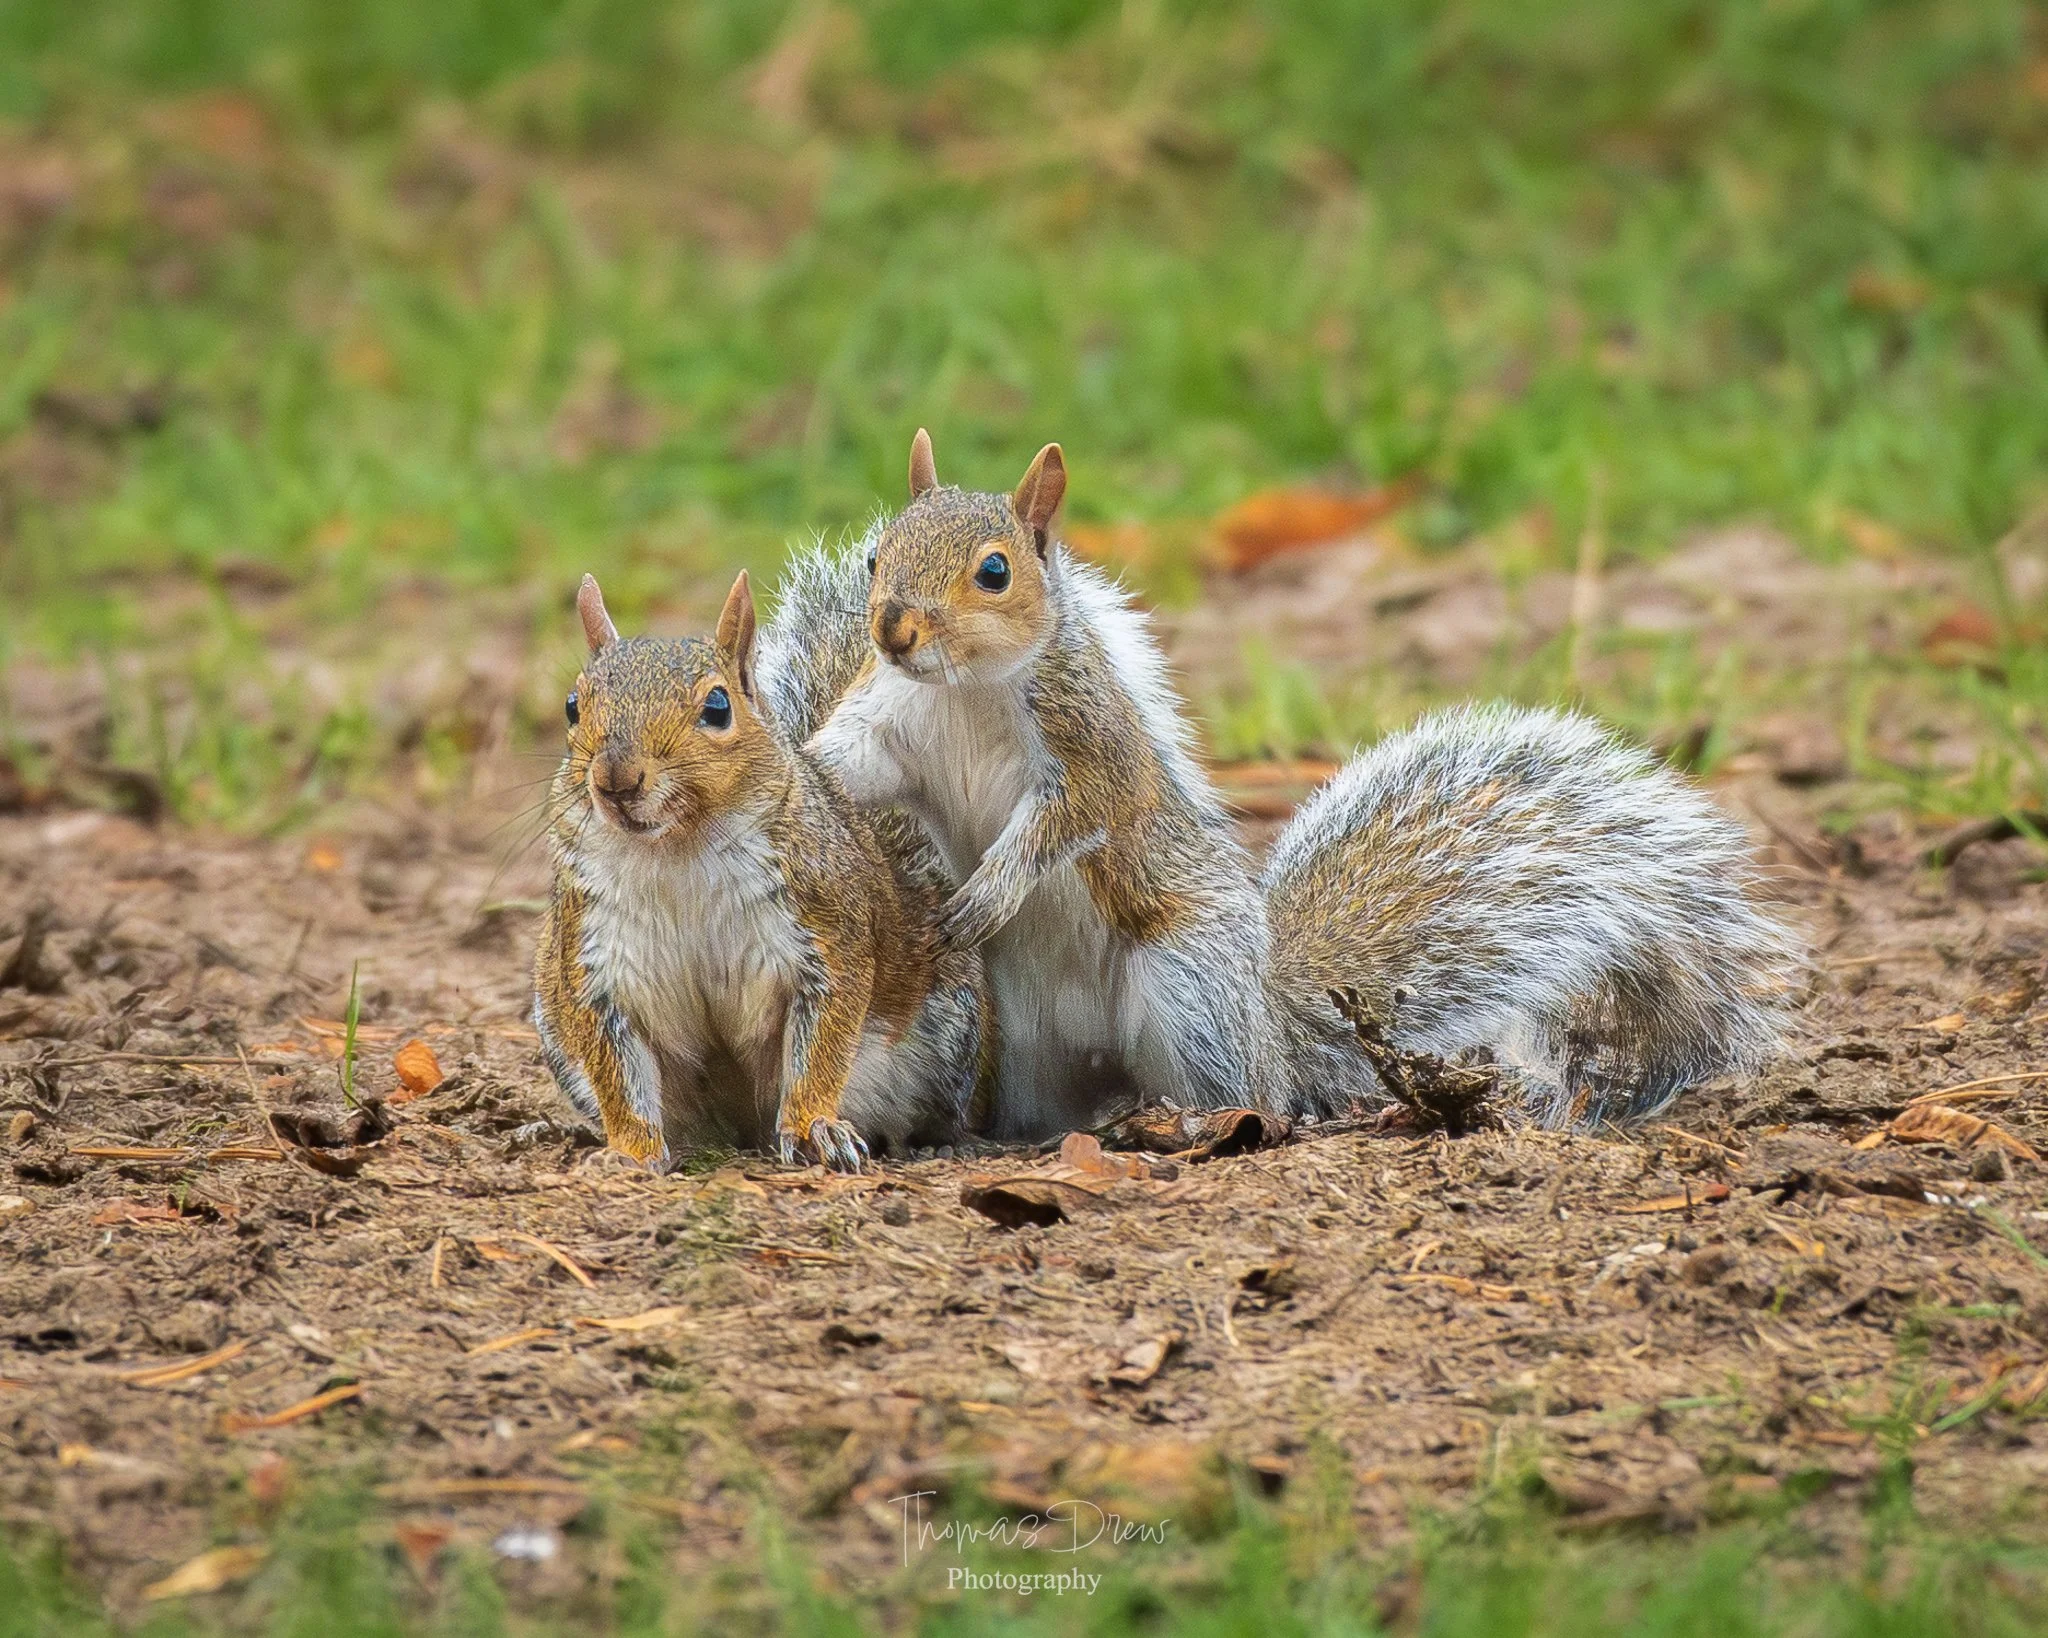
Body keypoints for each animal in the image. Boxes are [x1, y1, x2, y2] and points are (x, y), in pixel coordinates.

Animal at [532, 569, 994, 1171]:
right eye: (572, 706)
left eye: (718, 707)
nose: (615, 779)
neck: (676, 848)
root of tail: (744, 1133)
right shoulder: (594, 962)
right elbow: (617, 1076)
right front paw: (629, 1152)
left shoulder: (826, 930)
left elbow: (820, 1050)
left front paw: (814, 1129)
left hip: (949, 1031)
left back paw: (940, 1141)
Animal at [787, 429, 1803, 1136]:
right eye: (877, 555)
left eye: (994, 572)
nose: (892, 631)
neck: (960, 691)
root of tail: (1274, 1029)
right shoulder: (889, 726)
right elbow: (850, 765)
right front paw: (787, 768)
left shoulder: (1093, 750)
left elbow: (1073, 818)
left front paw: (993, 887)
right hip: (1018, 1039)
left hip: (1187, 986)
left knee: (1249, 1094)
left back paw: (1198, 1117)